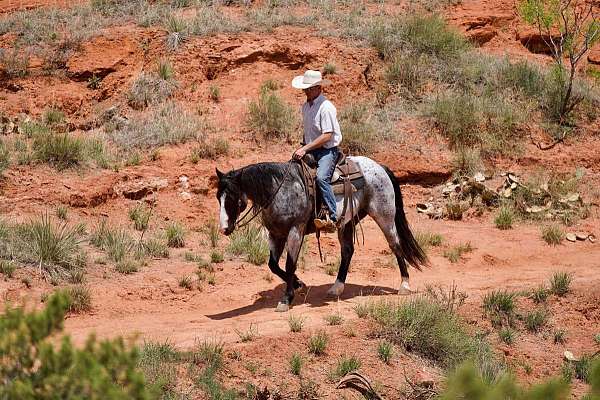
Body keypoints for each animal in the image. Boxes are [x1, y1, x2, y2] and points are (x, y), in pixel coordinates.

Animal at [214, 156, 426, 312]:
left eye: (232, 197)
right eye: (218, 197)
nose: (224, 228)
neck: (279, 190)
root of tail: (379, 167)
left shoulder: (295, 230)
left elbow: (289, 264)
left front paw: (286, 298)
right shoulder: (275, 234)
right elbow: (273, 265)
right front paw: (298, 284)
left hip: (384, 215)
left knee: (395, 245)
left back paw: (404, 285)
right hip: (346, 223)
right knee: (347, 251)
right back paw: (336, 287)